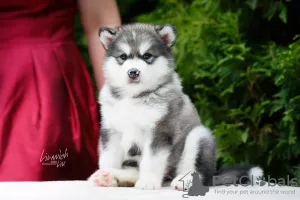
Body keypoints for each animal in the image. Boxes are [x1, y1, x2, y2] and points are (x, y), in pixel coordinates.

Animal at [87, 22, 262, 190]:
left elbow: (151, 160)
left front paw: (148, 182)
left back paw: (184, 181)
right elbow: (109, 158)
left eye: (147, 56)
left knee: (199, 172)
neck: (134, 97)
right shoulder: (111, 130)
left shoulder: (160, 130)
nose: (133, 72)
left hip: (199, 136)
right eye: (123, 56)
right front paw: (107, 175)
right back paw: (109, 176)